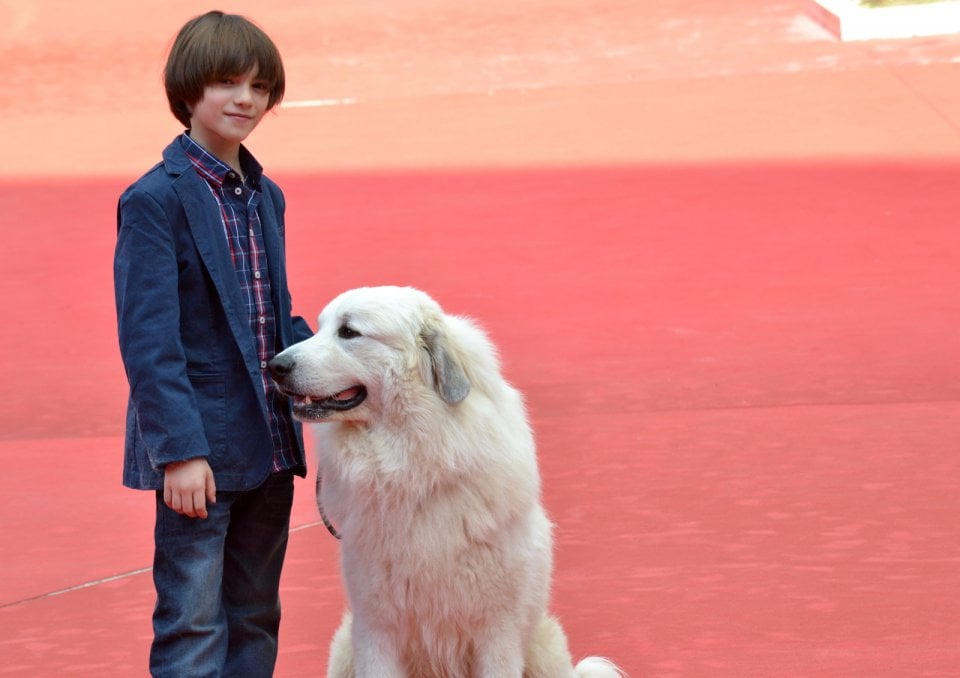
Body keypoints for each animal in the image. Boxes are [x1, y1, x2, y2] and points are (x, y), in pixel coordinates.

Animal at [270, 286, 624, 678]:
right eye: (319, 328)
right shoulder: (377, 628)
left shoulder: (496, 632)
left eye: (348, 332)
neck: (414, 464)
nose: (273, 366)